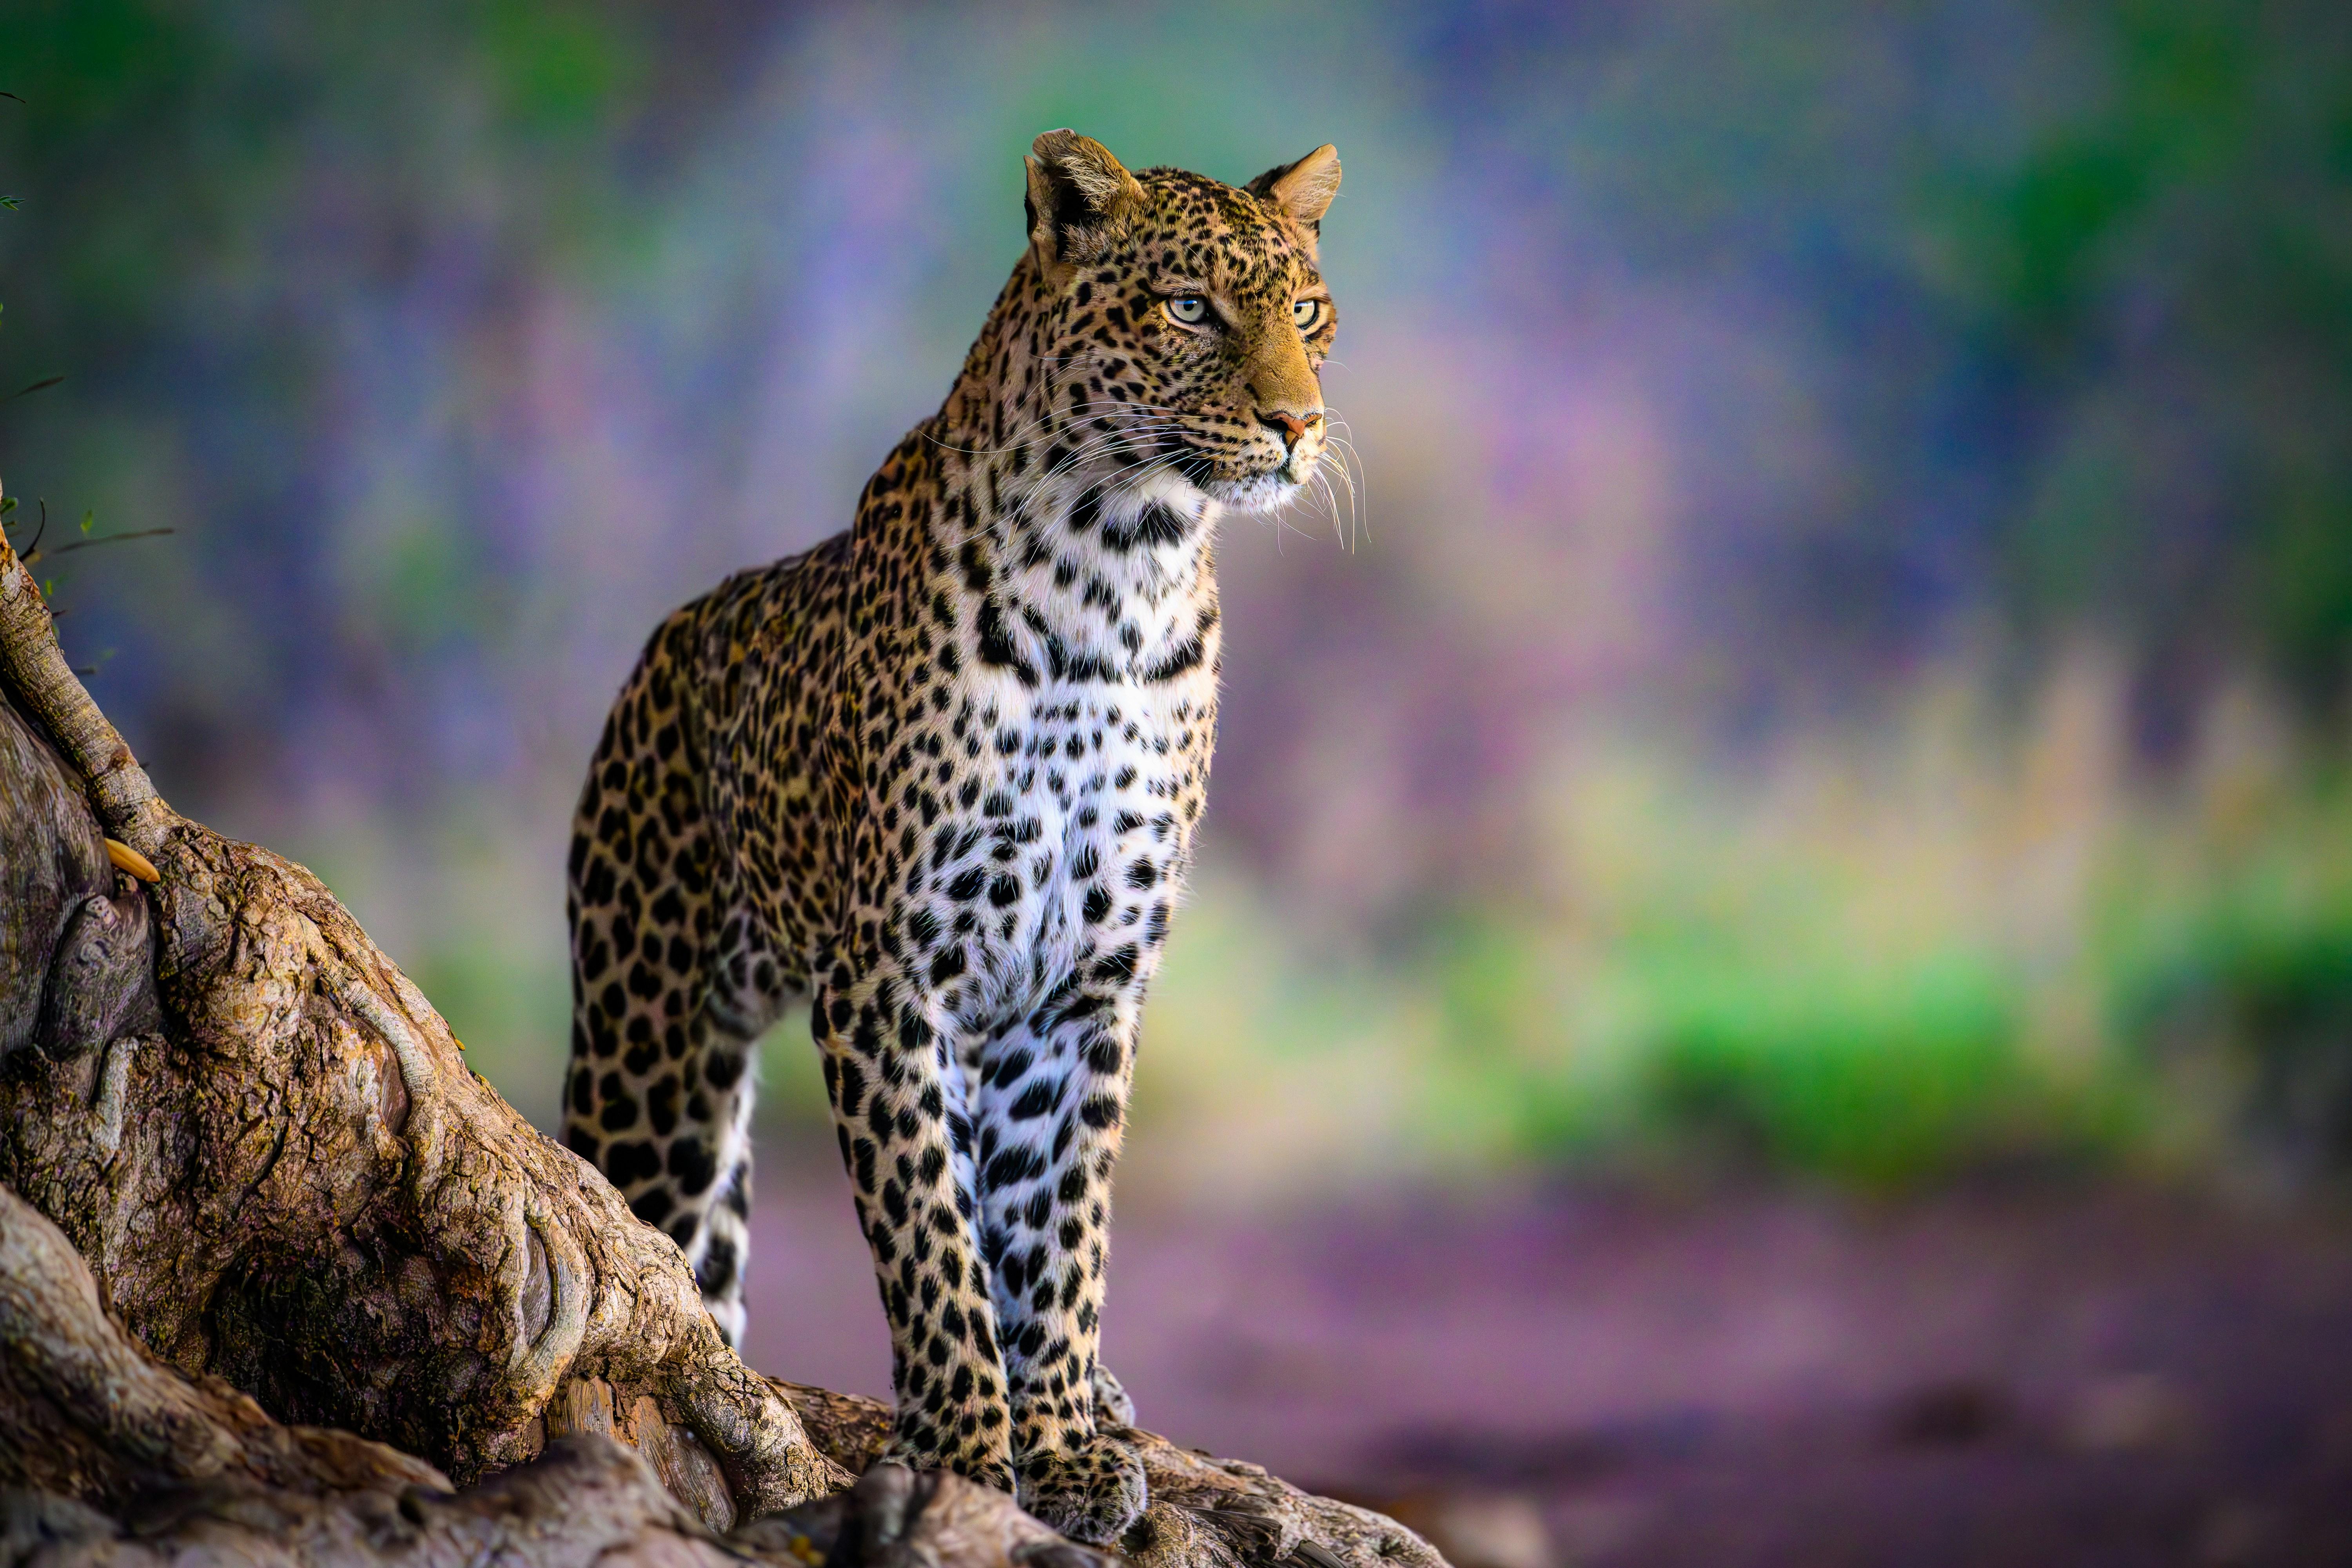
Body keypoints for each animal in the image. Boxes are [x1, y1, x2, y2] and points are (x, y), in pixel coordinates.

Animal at [558, 129, 1342, 1545]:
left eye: (1307, 314)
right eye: (1190, 308)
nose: (1296, 424)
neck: (1123, 570)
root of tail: (665, 644)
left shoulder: (1083, 986)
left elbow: (1059, 1230)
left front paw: (1064, 1443)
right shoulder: (889, 974)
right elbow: (928, 1234)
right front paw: (973, 1455)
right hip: (653, 1053)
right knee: (653, 1226)